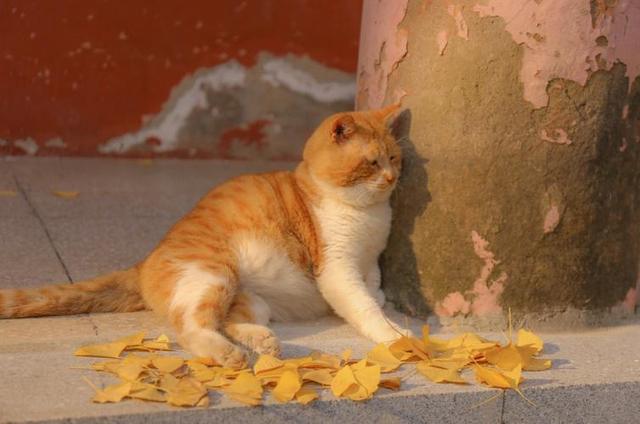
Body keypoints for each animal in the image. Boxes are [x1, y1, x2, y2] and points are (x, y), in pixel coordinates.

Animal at [0, 104, 407, 367]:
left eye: (395, 159)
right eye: (372, 162)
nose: (391, 178)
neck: (370, 215)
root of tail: (145, 260)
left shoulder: (369, 262)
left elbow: (374, 287)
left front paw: (384, 301)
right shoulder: (337, 267)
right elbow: (364, 306)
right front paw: (396, 335)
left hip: (250, 298)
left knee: (231, 321)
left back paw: (264, 342)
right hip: (213, 274)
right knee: (192, 326)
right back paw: (229, 354)